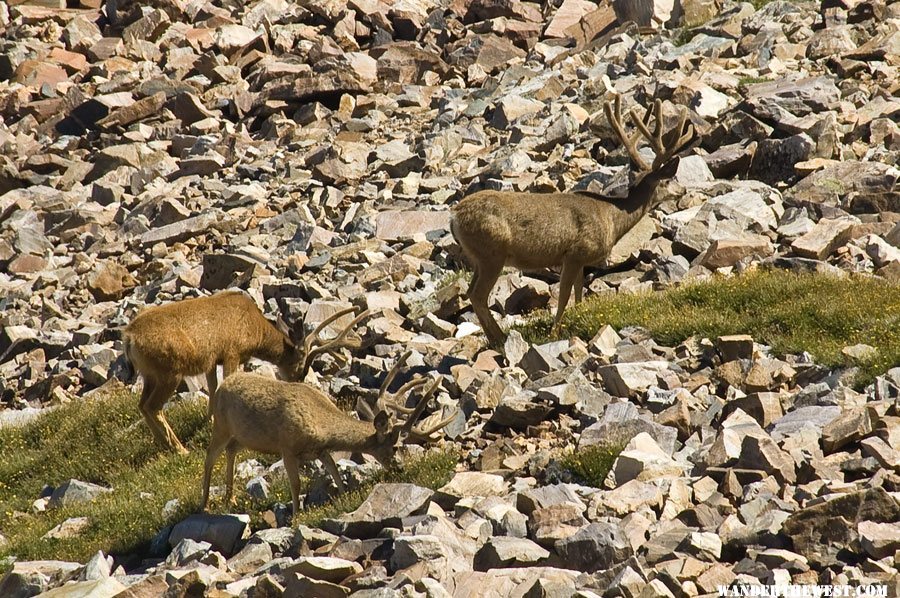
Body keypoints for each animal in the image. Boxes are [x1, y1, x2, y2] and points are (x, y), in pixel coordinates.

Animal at [123, 290, 370, 454]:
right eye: (300, 366)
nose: (299, 380)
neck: (256, 332)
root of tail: (129, 337)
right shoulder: (232, 352)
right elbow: (225, 383)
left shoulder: (212, 360)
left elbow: (213, 388)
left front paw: (211, 419)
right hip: (169, 372)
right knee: (153, 406)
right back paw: (180, 449)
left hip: (150, 374)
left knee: (142, 405)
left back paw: (164, 445)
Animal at [204, 354, 458, 516]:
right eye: (395, 446)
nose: (401, 468)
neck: (321, 424)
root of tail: (222, 385)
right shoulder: (287, 447)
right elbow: (296, 484)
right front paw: (296, 516)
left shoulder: (320, 450)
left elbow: (336, 473)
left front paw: (344, 499)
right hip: (221, 425)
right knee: (210, 455)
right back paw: (204, 503)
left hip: (242, 436)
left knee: (231, 451)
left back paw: (230, 498)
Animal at [450, 96, 696, 350]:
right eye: (668, 180)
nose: (684, 190)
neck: (612, 218)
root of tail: (454, 215)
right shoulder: (575, 253)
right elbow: (565, 294)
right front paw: (554, 332)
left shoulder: (580, 260)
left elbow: (578, 292)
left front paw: (579, 319)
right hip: (492, 253)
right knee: (478, 295)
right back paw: (500, 339)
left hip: (479, 258)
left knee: (470, 292)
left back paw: (494, 338)